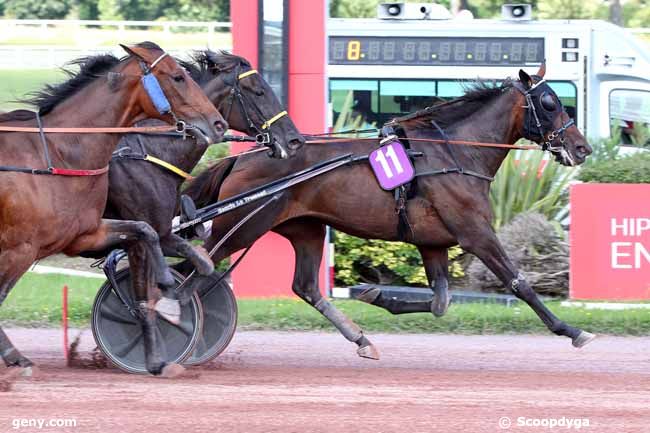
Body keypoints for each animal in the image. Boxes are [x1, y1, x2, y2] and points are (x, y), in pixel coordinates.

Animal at [0, 43, 225, 374]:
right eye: (178, 76)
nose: (218, 123)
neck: (58, 155)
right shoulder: (20, 248)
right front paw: (16, 357)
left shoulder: (83, 234)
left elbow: (147, 232)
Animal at [182, 66, 592, 358]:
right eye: (550, 103)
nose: (582, 147)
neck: (454, 153)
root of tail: (240, 160)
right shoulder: (475, 233)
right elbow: (519, 283)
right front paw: (572, 330)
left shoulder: (433, 243)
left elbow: (441, 301)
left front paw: (374, 293)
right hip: (241, 225)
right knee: (194, 271)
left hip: (306, 228)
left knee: (306, 287)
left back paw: (360, 339)